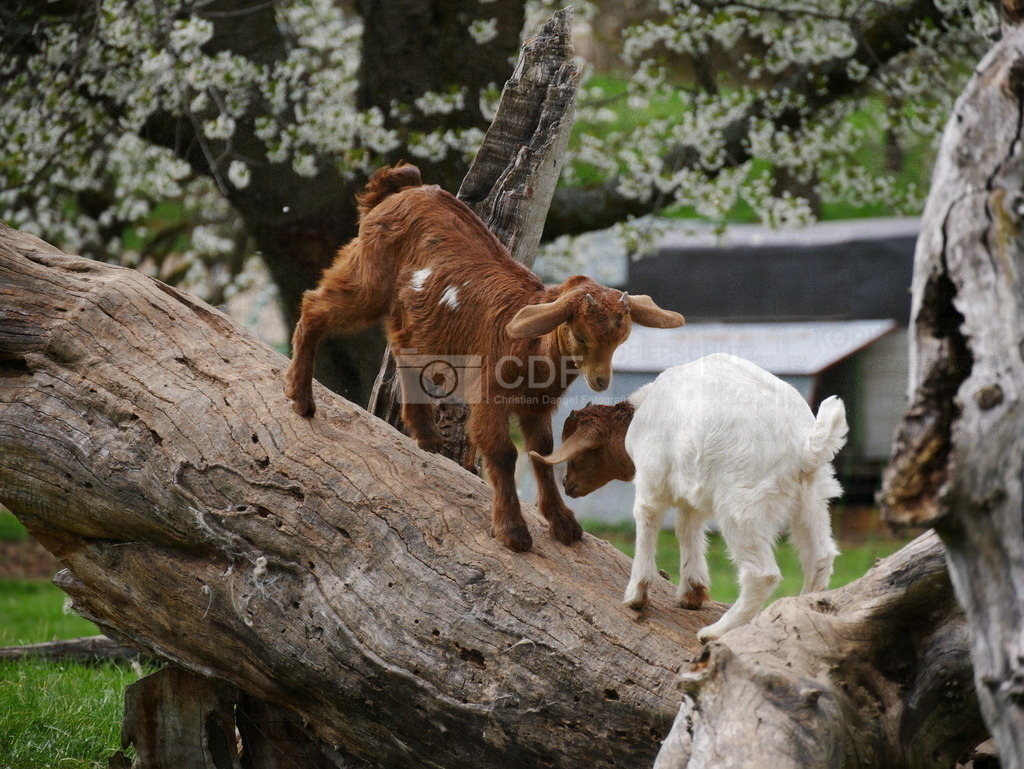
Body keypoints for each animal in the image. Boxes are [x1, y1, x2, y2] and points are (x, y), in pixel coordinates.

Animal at [283, 163, 684, 553]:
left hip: (410, 313)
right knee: (315, 306)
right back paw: (301, 399)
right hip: (368, 273)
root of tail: (402, 188)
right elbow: (502, 451)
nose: (601, 381)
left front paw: (564, 525)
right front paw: (513, 532)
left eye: (622, 339)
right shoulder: (489, 392)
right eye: (580, 335)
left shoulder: (537, 406)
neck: (532, 354)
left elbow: (541, 451)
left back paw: (426, 436)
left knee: (402, 349)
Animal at [531, 353, 848, 640]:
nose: (568, 485)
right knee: (820, 557)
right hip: (813, 497)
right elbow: (687, 528)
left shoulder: (651, 479)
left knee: (762, 574)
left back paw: (716, 632)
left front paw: (636, 595)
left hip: (743, 504)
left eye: (580, 454)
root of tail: (806, 444)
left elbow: (647, 519)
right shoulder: (692, 492)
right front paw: (692, 592)